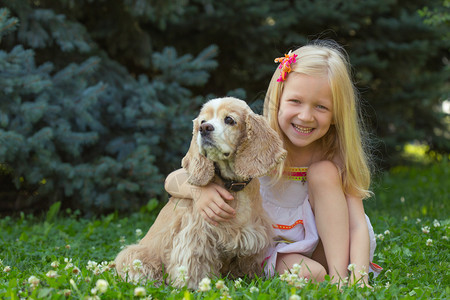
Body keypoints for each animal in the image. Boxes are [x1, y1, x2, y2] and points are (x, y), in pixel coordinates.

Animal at [115, 96, 284, 288]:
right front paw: (195, 287)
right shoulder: (196, 235)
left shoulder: (253, 238)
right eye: (202, 122)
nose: (204, 128)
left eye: (229, 120)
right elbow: (194, 265)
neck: (232, 185)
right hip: (134, 255)